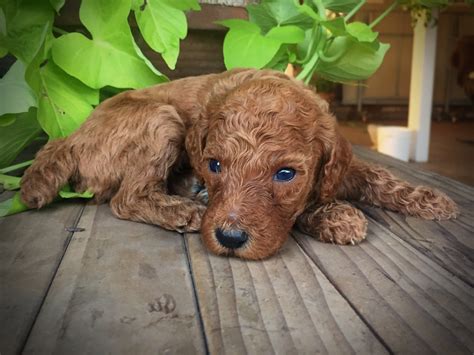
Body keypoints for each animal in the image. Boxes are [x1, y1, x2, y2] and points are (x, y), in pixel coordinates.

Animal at [20, 68, 458, 260]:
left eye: (285, 174)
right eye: (214, 165)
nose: (229, 238)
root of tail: (72, 136)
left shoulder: (340, 163)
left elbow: (378, 175)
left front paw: (432, 200)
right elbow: (300, 209)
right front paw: (338, 215)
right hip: (161, 118)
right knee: (126, 198)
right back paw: (183, 208)